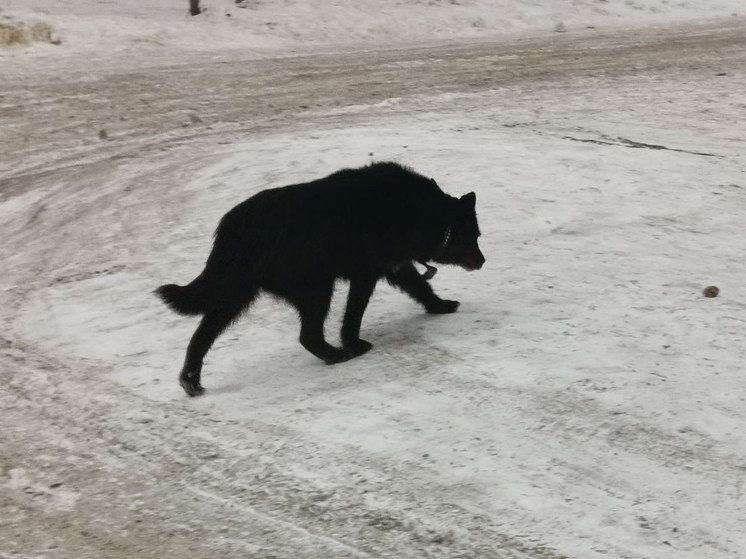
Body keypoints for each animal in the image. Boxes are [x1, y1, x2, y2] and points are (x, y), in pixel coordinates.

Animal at [155, 162, 482, 398]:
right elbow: (354, 314)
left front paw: (440, 306)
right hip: (316, 287)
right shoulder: (366, 274)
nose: (483, 261)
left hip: (237, 293)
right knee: (308, 335)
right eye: (474, 236)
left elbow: (421, 287)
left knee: (202, 335)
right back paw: (337, 355)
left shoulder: (396, 267)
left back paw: (190, 381)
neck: (417, 212)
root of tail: (237, 226)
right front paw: (352, 342)